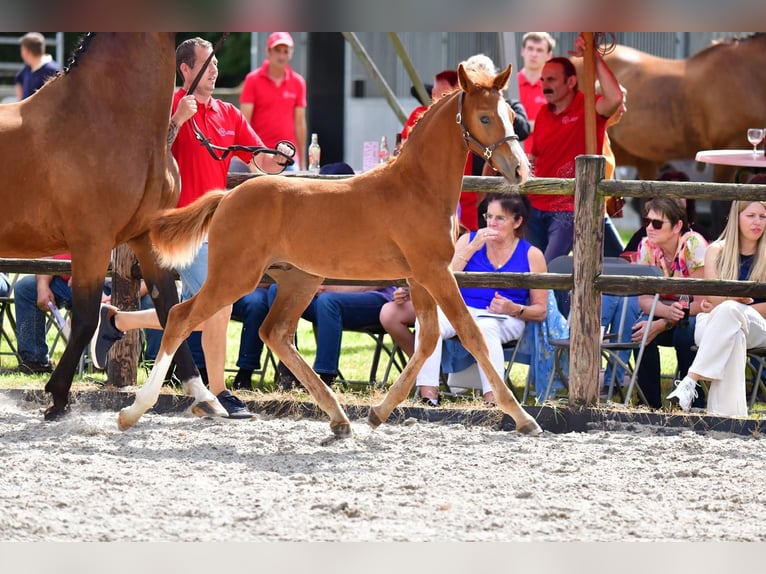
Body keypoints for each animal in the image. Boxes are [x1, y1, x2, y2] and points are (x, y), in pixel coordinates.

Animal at [0, 33, 213, 420]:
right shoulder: (91, 243)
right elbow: (84, 320)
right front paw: (57, 398)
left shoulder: (146, 238)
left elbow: (171, 310)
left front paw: (204, 395)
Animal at [117, 64, 544, 436]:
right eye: (485, 118)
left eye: (511, 114)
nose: (519, 169)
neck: (417, 187)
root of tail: (227, 196)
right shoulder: (435, 271)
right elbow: (471, 334)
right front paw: (523, 418)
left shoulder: (420, 275)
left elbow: (426, 341)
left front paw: (377, 413)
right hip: (235, 276)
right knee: (180, 317)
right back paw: (135, 410)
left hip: (299, 280)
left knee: (274, 332)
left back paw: (339, 417)